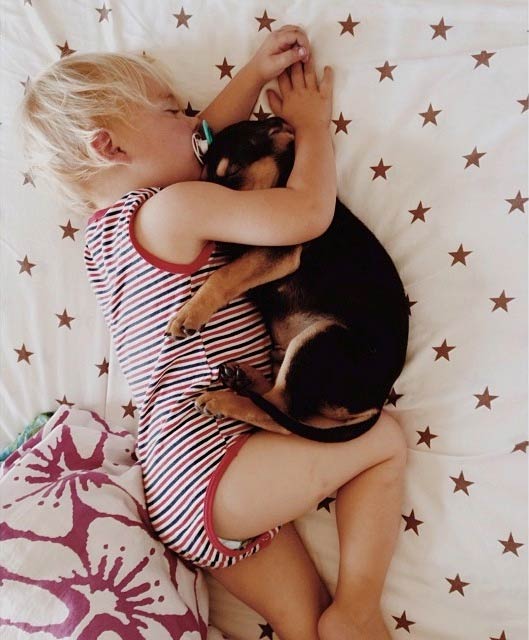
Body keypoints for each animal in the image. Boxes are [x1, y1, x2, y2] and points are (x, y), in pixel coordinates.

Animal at [166, 119, 408, 440]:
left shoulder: (278, 252)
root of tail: (376, 404)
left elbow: (223, 274)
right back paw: (244, 378)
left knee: (280, 414)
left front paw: (189, 314)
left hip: (321, 338)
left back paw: (223, 400)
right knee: (279, 402)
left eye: (233, 172)